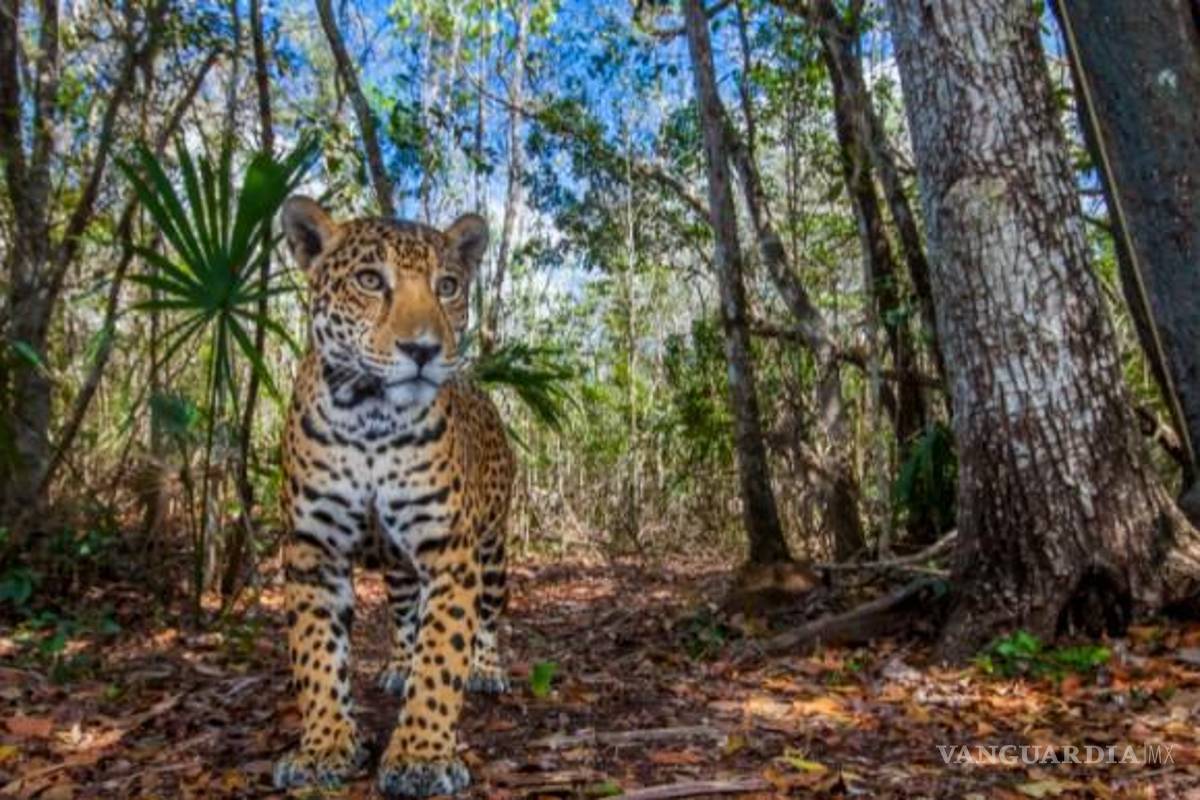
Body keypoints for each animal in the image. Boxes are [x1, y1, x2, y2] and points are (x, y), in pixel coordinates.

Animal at [271, 196, 514, 797]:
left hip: (493, 549)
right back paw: (400, 664)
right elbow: (316, 655)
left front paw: (422, 755)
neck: (371, 418)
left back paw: (487, 669)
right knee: (406, 615)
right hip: (400, 569)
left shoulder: (452, 552)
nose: (423, 349)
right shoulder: (311, 551)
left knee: (488, 618)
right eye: (368, 281)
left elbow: (444, 654)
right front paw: (323, 746)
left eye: (447, 286)